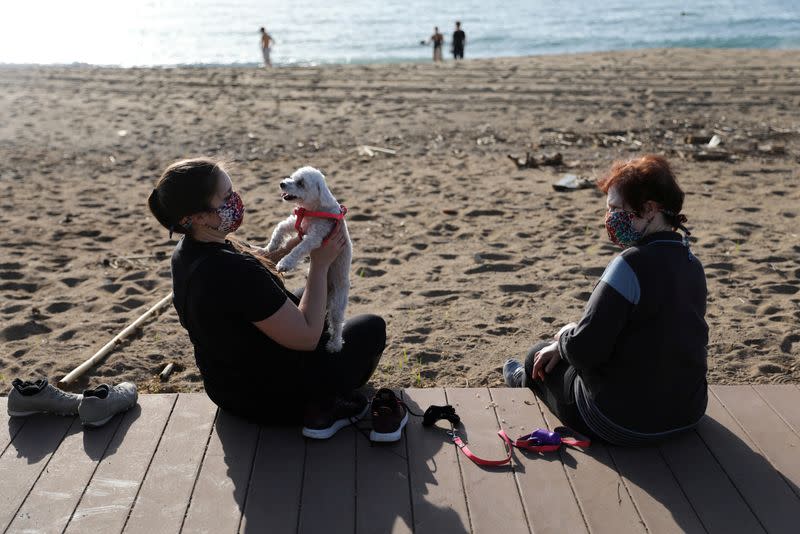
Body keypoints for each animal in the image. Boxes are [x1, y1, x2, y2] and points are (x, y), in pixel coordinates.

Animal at [264, 165, 352, 354]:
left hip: (338, 301)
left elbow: (298, 249)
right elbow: (280, 228)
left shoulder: (315, 236)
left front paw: (285, 263)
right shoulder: (297, 224)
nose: (282, 183)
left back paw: (334, 345)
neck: (313, 209)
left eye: (301, 183)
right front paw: (269, 248)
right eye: (291, 177)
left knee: (337, 323)